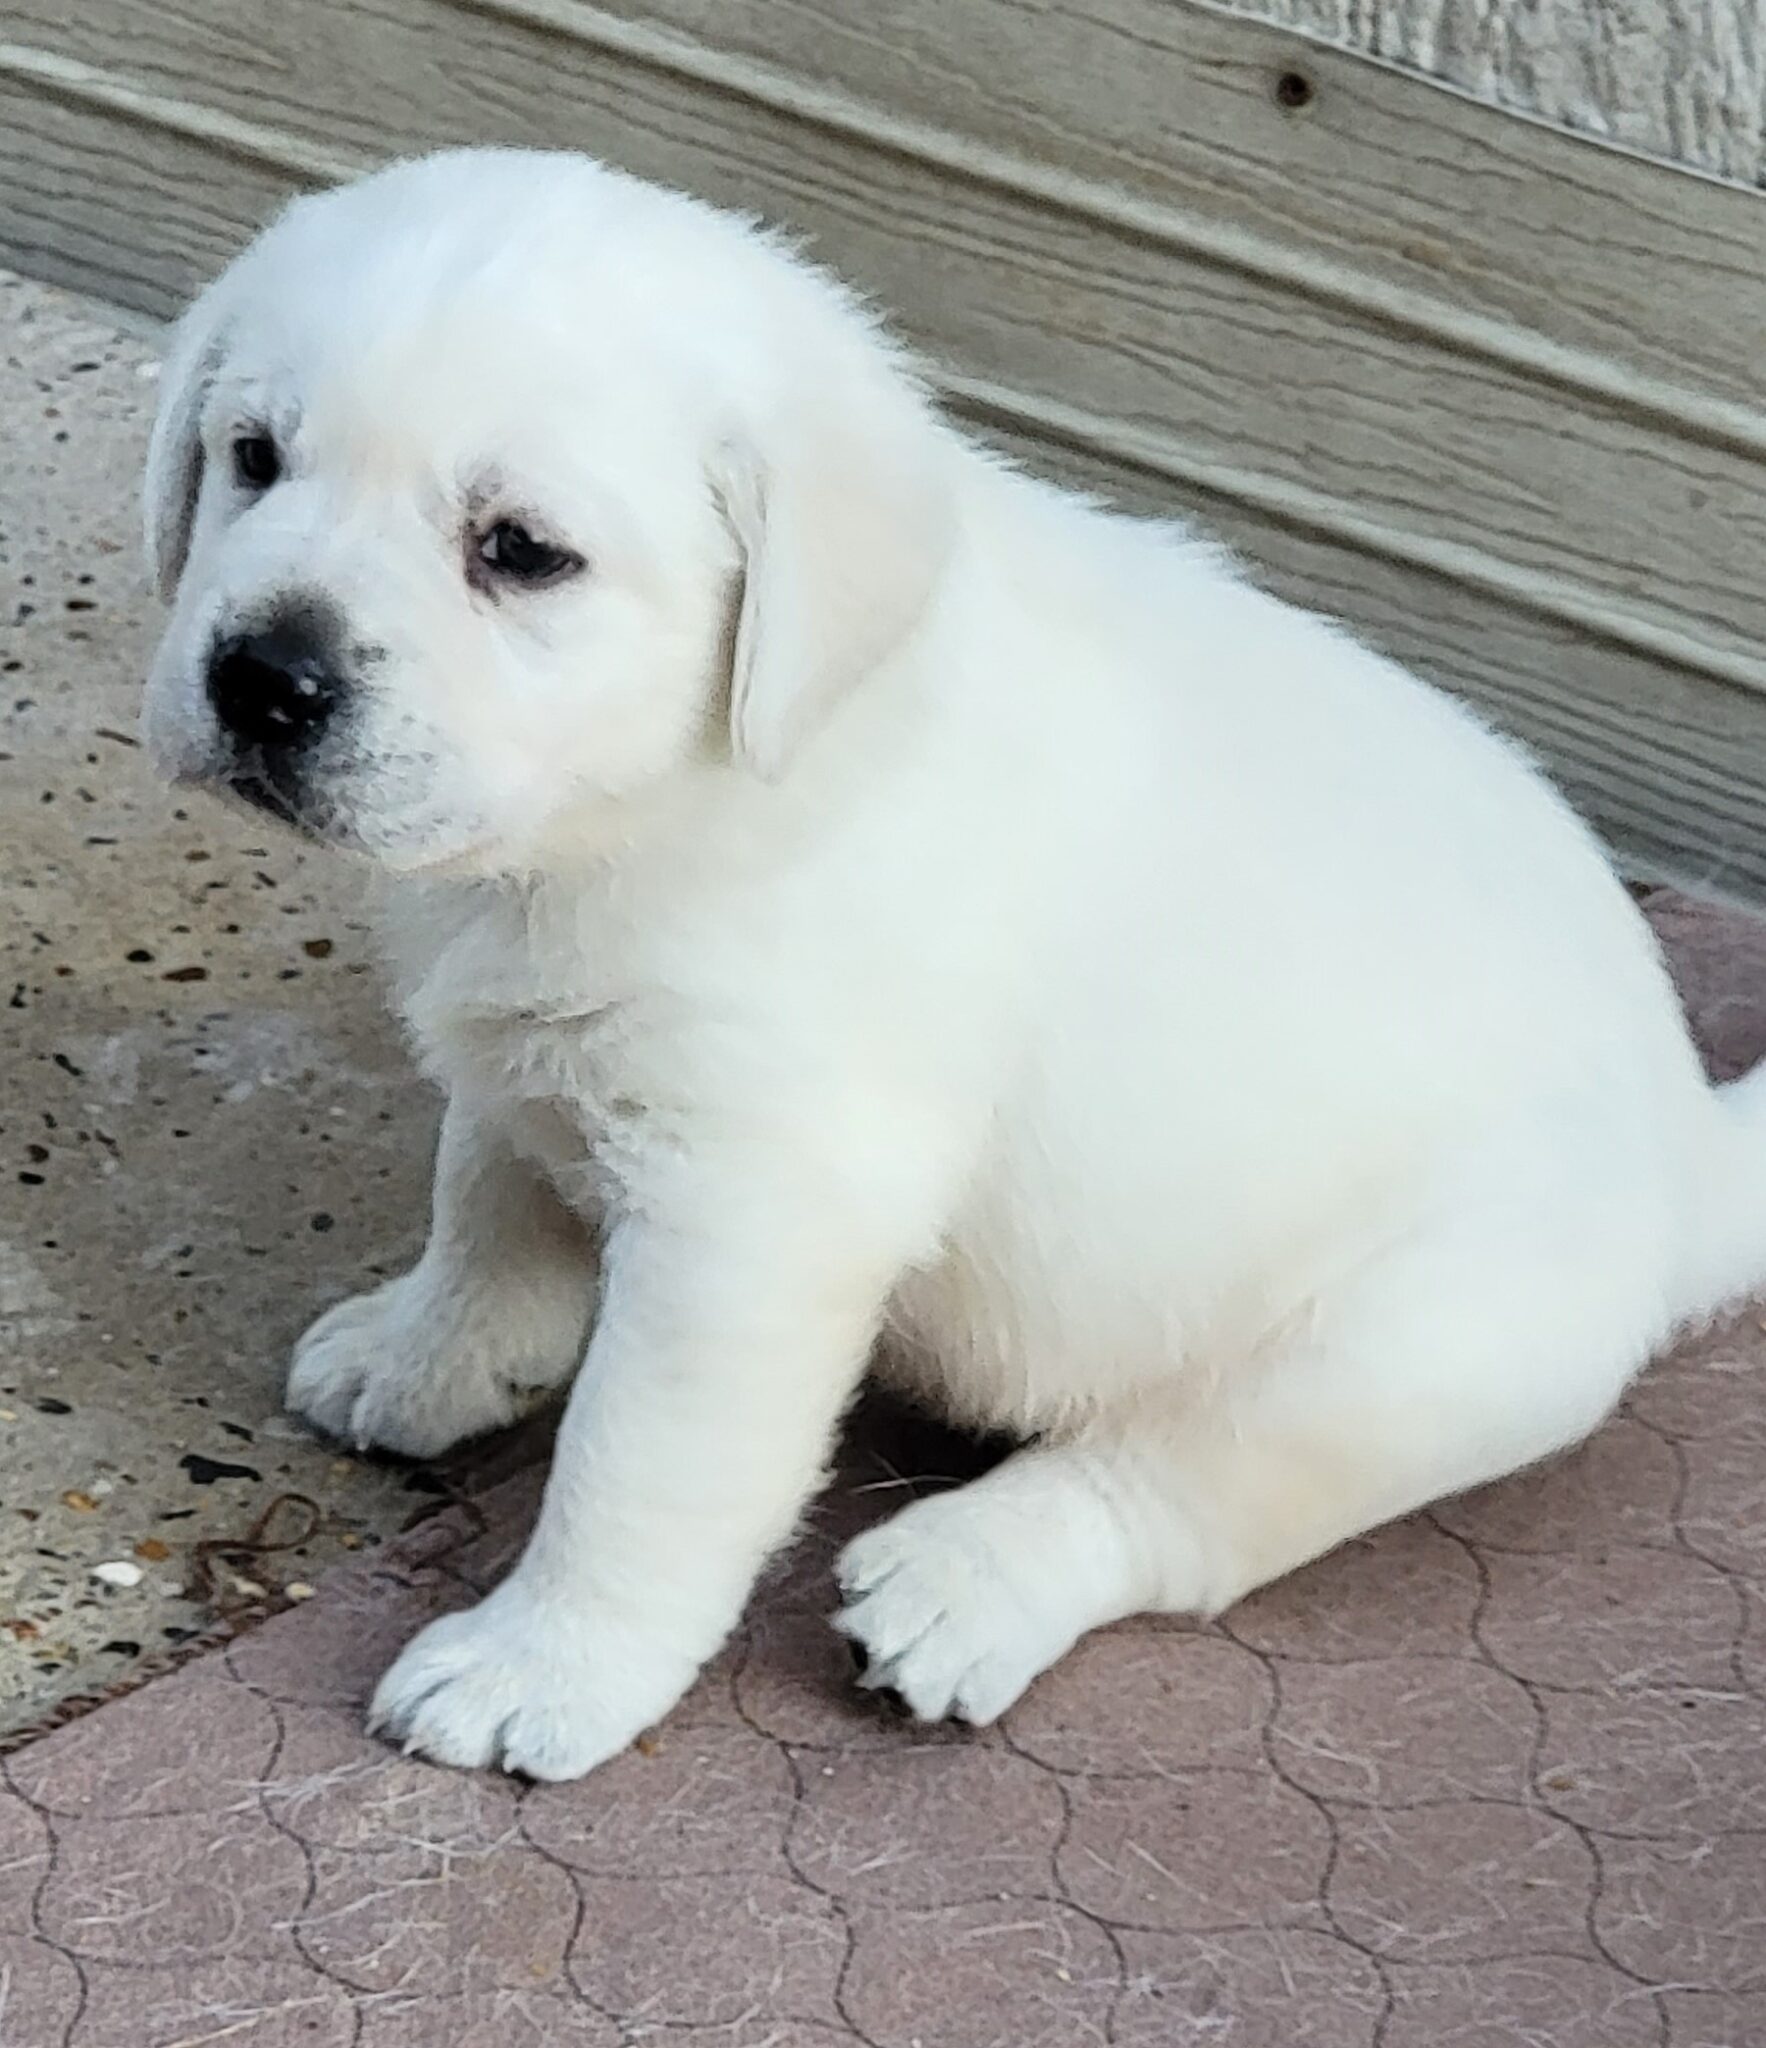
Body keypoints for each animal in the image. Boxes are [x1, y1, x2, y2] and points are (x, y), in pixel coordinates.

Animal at [138, 148, 1766, 1777]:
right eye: (254, 457)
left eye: (522, 552)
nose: (262, 678)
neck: (649, 810)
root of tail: (1688, 1157)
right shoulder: (524, 1047)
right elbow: (485, 1202)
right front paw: (427, 1355)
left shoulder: (757, 1211)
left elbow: (635, 1463)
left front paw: (544, 1663)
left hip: (1395, 1354)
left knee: (1180, 1492)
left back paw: (968, 1582)